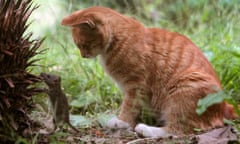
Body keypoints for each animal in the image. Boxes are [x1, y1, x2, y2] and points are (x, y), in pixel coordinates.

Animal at [61, 6, 235, 137]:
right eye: (79, 46)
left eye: (83, 45)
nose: (83, 56)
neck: (117, 39)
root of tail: (224, 106)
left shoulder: (136, 85)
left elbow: (129, 106)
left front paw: (121, 121)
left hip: (183, 90)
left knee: (178, 130)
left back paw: (145, 129)